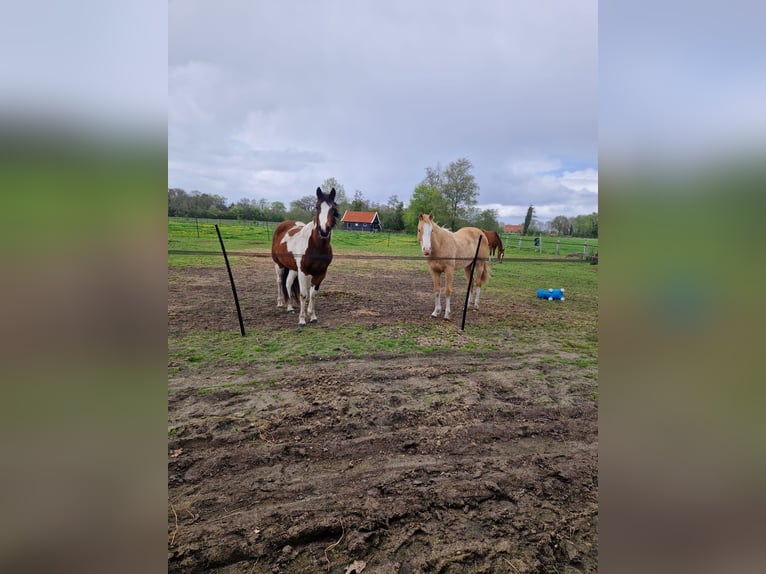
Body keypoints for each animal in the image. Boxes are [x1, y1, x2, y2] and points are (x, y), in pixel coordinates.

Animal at [271, 187, 339, 326]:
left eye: (333, 209)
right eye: (317, 207)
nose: (324, 230)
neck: (316, 246)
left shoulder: (321, 273)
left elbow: (313, 294)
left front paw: (312, 316)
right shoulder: (303, 271)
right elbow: (303, 294)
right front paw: (302, 320)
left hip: (292, 268)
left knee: (288, 283)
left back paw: (290, 307)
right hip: (279, 265)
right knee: (279, 281)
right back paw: (280, 303)